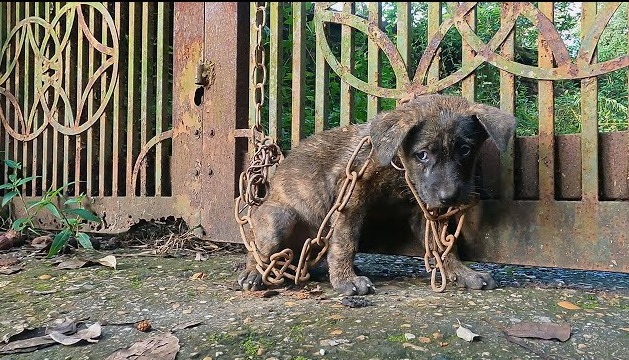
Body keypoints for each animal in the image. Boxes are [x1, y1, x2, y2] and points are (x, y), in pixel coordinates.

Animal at [237, 93, 516, 296]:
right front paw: (346, 280)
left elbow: (442, 246)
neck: (398, 166)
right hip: (278, 220)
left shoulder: (424, 208)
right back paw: (253, 274)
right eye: (422, 154)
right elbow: (345, 242)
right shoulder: (350, 196)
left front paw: (462, 272)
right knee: (259, 250)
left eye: (465, 150)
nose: (450, 198)